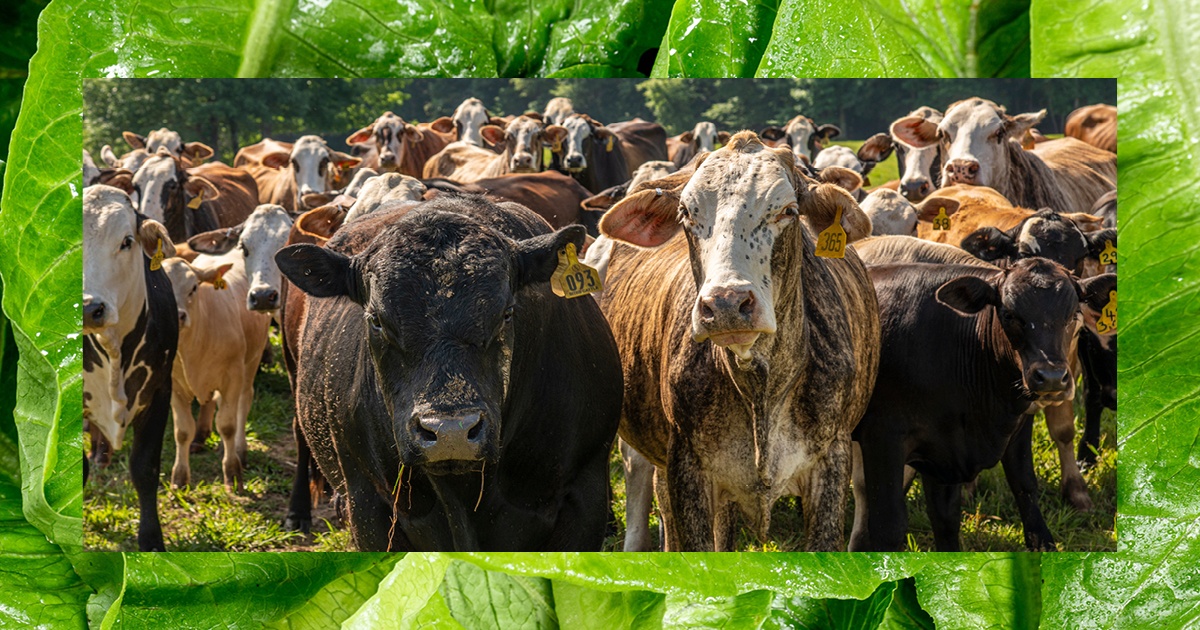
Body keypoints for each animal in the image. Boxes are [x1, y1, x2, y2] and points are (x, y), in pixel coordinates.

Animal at [595, 130, 878, 547]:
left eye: (788, 211)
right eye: (686, 213)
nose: (727, 303)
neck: (760, 390)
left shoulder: (832, 462)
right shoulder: (687, 468)